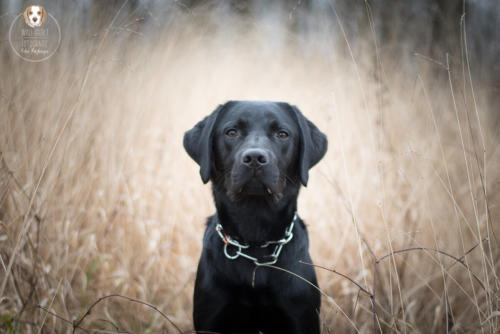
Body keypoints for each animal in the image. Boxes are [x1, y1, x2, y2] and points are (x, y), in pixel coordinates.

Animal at [184, 100, 328, 332]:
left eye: (282, 134)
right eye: (231, 132)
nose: (254, 158)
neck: (255, 242)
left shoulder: (300, 316)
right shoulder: (211, 316)